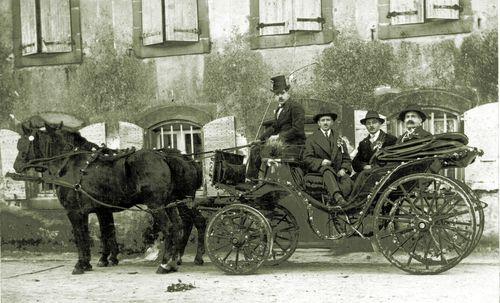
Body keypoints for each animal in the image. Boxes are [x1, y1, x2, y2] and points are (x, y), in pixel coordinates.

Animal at [13, 121, 205, 276]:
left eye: (22, 144)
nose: (16, 166)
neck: (70, 163)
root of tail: (164, 156)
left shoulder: (75, 212)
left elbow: (81, 236)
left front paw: (82, 264)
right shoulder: (101, 209)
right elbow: (105, 232)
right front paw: (102, 259)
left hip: (157, 205)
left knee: (172, 227)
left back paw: (166, 264)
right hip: (171, 203)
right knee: (181, 225)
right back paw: (174, 260)